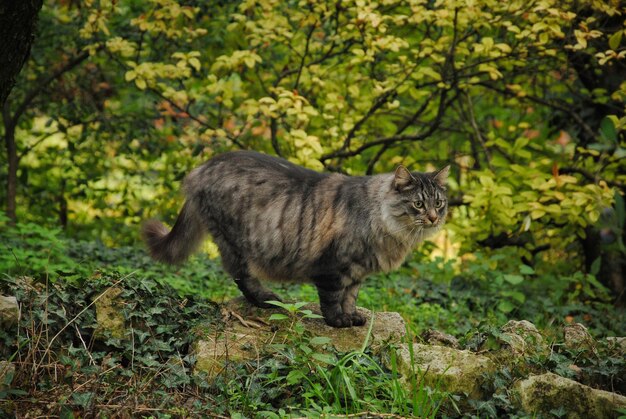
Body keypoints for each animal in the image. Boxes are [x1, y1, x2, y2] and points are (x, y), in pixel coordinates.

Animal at [144, 151, 446, 328]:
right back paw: (266, 299)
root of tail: (202, 168)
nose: (433, 218)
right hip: (234, 241)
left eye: (439, 203)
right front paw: (338, 321)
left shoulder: (356, 273)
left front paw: (352, 316)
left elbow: (350, 297)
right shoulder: (331, 267)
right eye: (418, 204)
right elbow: (332, 299)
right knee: (241, 275)